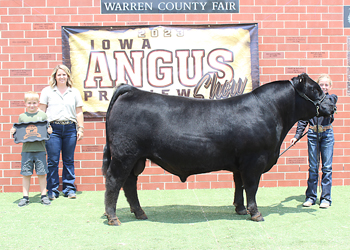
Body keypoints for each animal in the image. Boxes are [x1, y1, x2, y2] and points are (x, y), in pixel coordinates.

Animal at [100, 72, 334, 225]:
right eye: (315, 89)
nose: (332, 104)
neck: (271, 112)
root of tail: (131, 90)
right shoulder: (254, 161)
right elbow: (251, 187)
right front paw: (255, 213)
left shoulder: (240, 164)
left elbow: (239, 185)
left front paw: (240, 209)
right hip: (124, 154)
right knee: (114, 181)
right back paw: (113, 217)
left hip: (136, 158)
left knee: (129, 183)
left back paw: (139, 213)